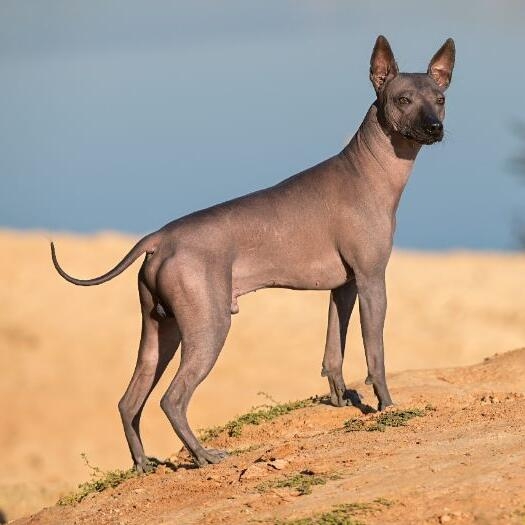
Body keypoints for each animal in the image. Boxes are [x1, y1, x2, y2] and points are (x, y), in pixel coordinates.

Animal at [52, 35, 454, 470]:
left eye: (440, 99)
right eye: (403, 99)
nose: (434, 127)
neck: (368, 171)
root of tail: (160, 237)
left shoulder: (344, 287)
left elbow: (333, 350)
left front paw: (339, 398)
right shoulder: (371, 280)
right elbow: (375, 353)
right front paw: (386, 404)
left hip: (160, 332)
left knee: (129, 402)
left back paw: (143, 464)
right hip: (209, 326)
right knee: (172, 399)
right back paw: (203, 455)